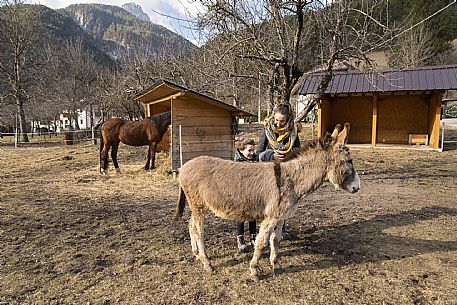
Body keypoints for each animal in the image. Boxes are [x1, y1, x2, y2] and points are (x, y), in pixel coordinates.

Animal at [176, 122, 358, 280]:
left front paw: (275, 265)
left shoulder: (281, 216)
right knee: (198, 230)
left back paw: (196, 254)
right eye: (349, 161)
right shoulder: (271, 217)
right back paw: (207, 263)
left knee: (191, 225)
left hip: (198, 206)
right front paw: (254, 270)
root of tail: (184, 167)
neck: (290, 179)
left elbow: (275, 240)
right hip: (198, 206)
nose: (357, 187)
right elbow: (261, 242)